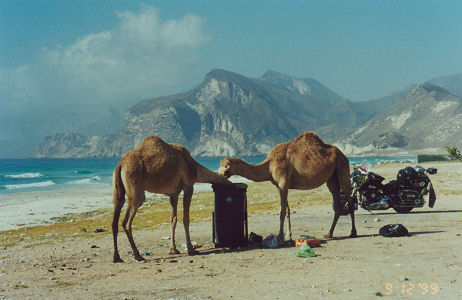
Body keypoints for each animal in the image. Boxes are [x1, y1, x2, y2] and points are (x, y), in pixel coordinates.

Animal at [217, 131, 358, 241]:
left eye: (227, 167)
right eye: (221, 165)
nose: (219, 174)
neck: (269, 165)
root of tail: (343, 154)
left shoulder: (283, 182)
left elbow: (282, 211)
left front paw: (280, 236)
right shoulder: (281, 186)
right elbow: (288, 210)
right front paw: (288, 236)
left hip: (342, 168)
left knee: (350, 200)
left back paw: (353, 233)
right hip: (332, 178)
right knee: (337, 203)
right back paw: (329, 234)